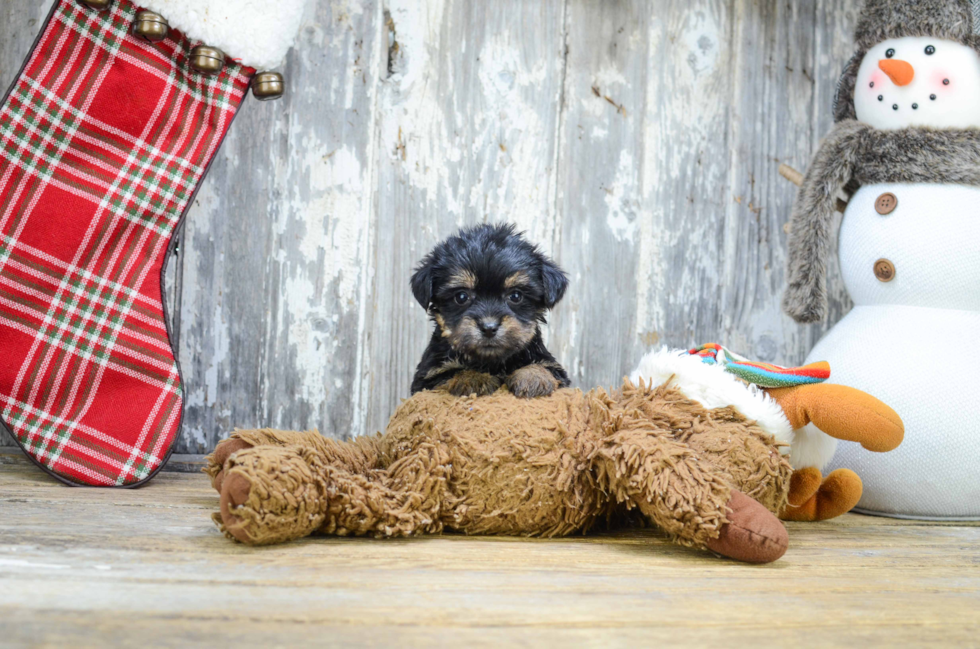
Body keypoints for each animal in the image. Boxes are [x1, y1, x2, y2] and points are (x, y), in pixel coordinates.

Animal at [410, 223, 572, 398]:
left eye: (515, 296)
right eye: (461, 297)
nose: (489, 328)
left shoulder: (552, 365)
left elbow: (543, 366)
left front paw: (532, 377)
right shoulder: (429, 375)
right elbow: (451, 372)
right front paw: (474, 378)